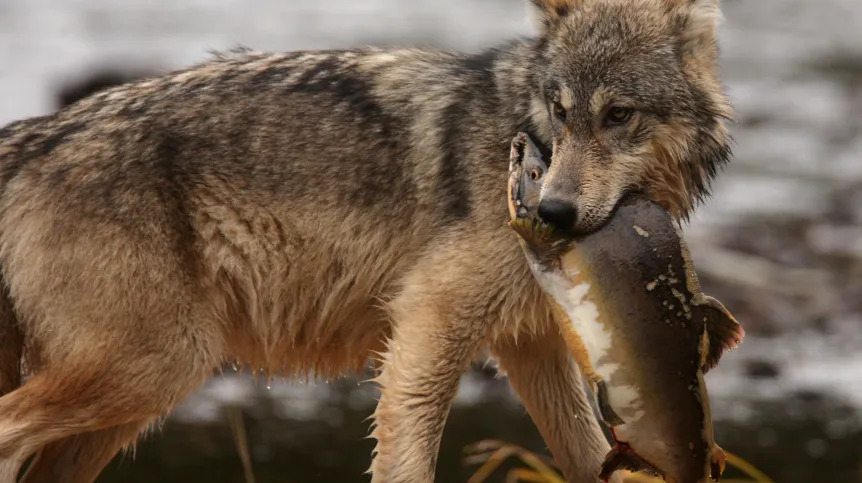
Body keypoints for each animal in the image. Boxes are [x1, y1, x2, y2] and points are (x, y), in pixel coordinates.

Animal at [0, 0, 732, 483]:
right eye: (561, 110)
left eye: (618, 115)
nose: (551, 211)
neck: (517, 131)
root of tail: (34, 136)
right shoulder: (429, 321)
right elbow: (407, 456)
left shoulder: (530, 345)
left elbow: (586, 455)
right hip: (155, 369)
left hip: (125, 408)